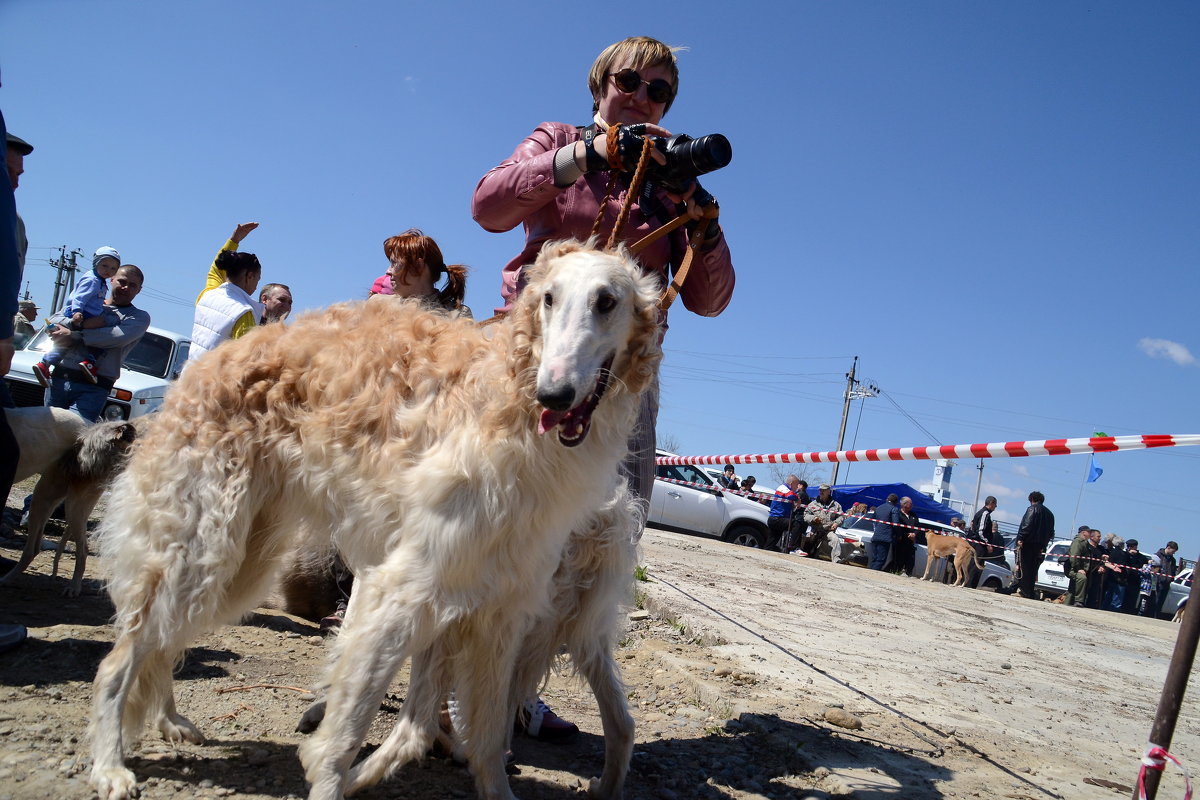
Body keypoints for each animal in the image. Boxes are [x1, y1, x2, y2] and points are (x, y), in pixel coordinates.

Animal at [88, 239, 662, 800]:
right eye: (547, 298)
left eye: (607, 301)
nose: (554, 395)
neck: (507, 406)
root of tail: (204, 366)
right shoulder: (403, 587)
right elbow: (348, 730)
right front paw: (330, 772)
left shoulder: (500, 607)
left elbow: (484, 741)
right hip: (204, 547)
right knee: (120, 660)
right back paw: (110, 765)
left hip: (239, 562)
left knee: (162, 643)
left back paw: (171, 723)